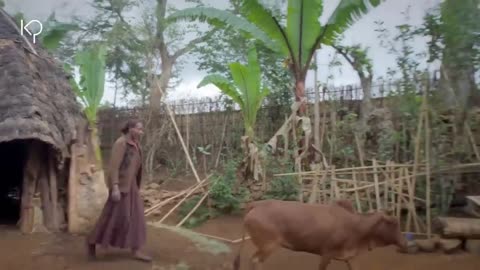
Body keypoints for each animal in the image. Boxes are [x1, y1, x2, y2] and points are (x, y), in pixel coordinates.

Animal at [232, 198, 404, 270]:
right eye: (394, 223)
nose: (405, 243)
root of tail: (256, 204)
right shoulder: (326, 253)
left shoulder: (350, 256)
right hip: (268, 245)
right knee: (255, 260)